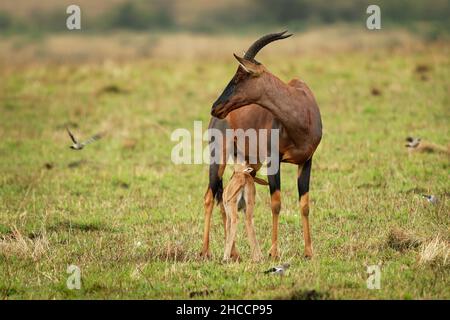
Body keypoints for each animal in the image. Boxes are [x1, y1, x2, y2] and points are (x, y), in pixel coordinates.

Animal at [201, 30, 324, 260]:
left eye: (241, 76)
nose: (216, 106)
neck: (300, 107)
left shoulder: (307, 161)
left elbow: (304, 204)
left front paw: (309, 252)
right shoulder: (273, 161)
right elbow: (276, 204)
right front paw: (274, 252)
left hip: (248, 164)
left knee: (226, 197)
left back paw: (234, 253)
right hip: (219, 158)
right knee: (210, 197)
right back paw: (205, 251)